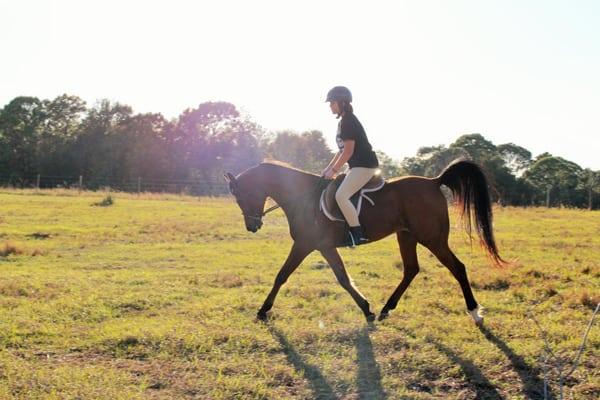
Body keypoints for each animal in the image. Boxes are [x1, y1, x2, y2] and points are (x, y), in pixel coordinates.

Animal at [223, 158, 504, 324]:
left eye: (240, 196)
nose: (252, 226)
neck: (303, 197)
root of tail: (434, 182)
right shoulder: (324, 247)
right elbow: (344, 279)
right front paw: (367, 309)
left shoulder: (305, 244)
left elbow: (282, 275)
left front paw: (263, 310)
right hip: (407, 236)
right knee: (411, 269)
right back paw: (386, 309)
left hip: (432, 238)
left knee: (457, 267)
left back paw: (475, 312)